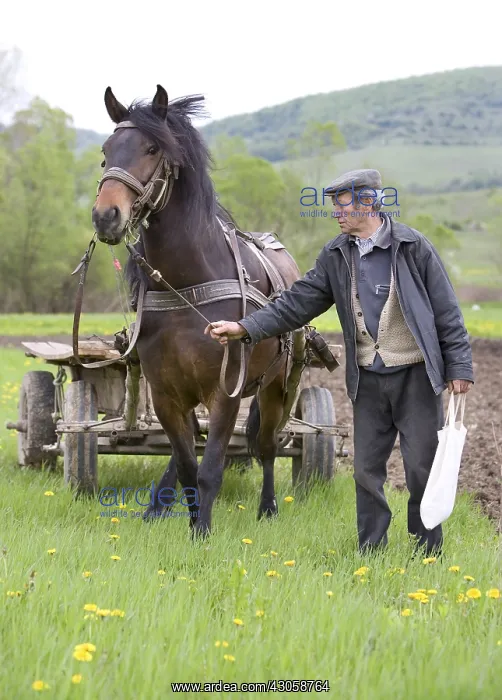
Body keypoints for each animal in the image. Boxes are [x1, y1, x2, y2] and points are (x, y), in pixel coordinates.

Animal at [91, 84, 302, 536]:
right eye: (106, 151)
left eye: (152, 148)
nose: (105, 216)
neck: (186, 287)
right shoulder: (166, 392)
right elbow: (188, 464)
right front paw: (188, 523)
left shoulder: (225, 391)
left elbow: (210, 470)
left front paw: (202, 533)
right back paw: (158, 505)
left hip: (276, 385)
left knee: (267, 446)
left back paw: (268, 507)